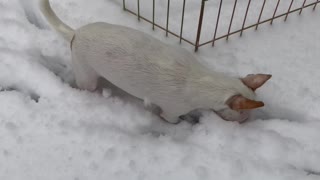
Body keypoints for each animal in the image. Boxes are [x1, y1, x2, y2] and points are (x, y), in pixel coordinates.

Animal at [39, 0, 270, 124]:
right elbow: (171, 119)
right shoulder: (171, 112)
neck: (204, 81)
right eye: (242, 112)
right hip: (87, 77)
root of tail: (75, 34)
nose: (245, 122)